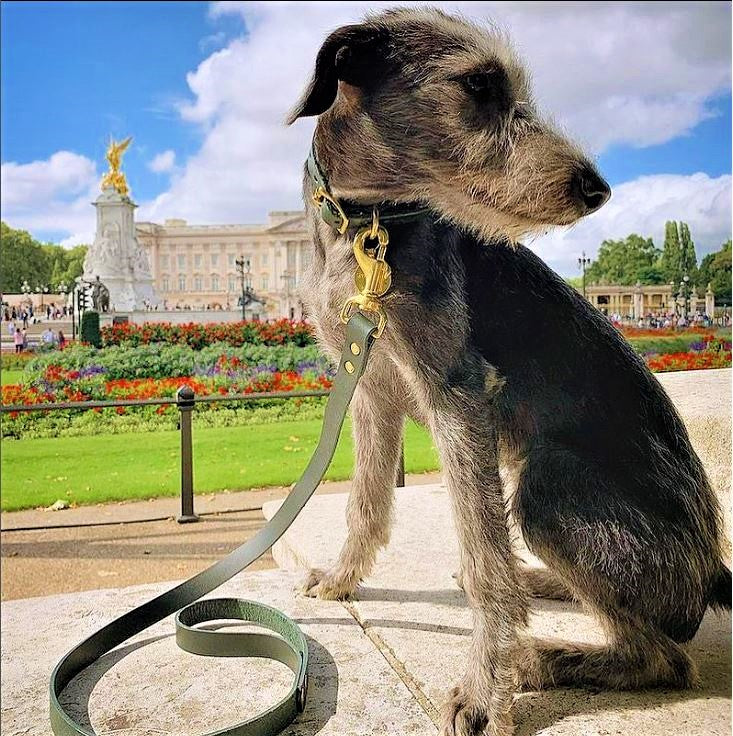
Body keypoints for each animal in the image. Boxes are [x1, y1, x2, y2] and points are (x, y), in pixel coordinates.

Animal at [284, 7, 728, 736]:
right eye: (479, 84)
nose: (597, 189)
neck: (371, 226)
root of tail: (712, 573)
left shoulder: (457, 395)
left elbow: (483, 556)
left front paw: (484, 689)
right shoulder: (370, 391)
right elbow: (367, 503)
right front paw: (345, 581)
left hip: (548, 489)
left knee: (663, 659)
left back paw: (542, 657)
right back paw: (545, 589)